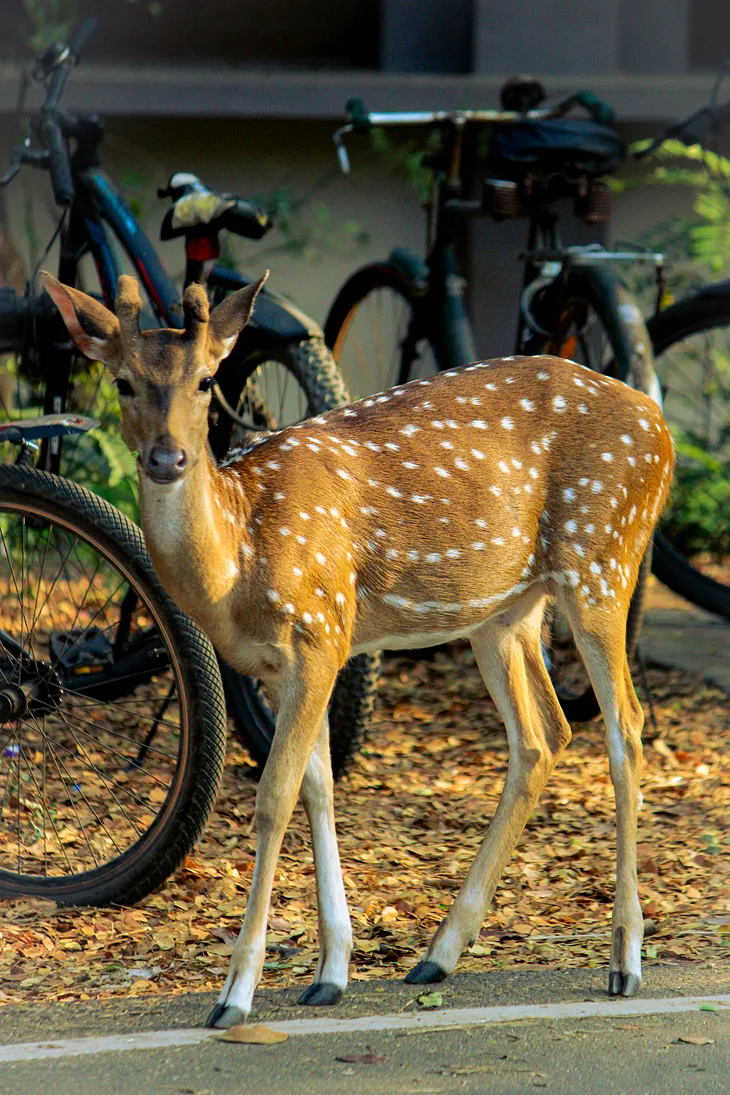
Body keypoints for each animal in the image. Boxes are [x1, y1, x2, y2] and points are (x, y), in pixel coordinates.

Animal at [42, 267, 678, 1024]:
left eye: (205, 380)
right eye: (123, 382)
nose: (168, 457)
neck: (238, 559)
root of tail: (662, 427)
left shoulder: (319, 630)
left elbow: (274, 796)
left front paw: (236, 994)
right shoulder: (288, 662)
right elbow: (318, 787)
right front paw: (331, 971)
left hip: (602, 556)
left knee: (625, 728)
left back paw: (625, 959)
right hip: (504, 610)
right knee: (543, 734)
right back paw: (439, 953)